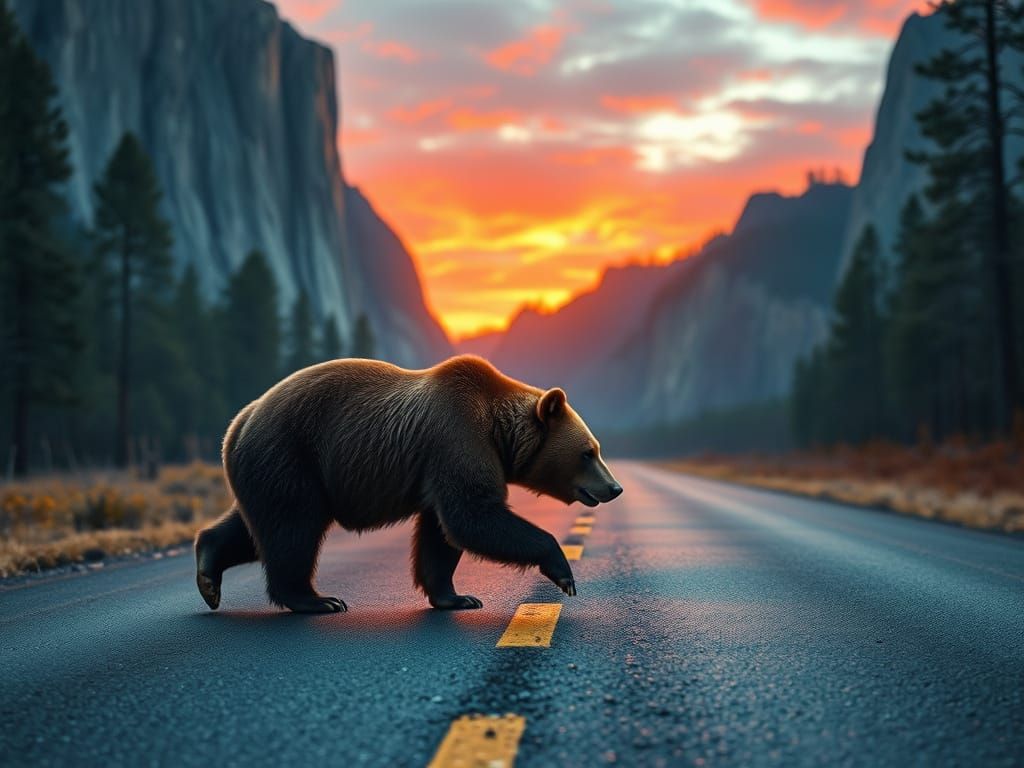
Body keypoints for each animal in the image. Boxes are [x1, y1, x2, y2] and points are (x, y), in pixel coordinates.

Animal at [193, 354, 623, 613]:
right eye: (588, 452)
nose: (614, 488)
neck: (499, 432)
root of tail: (238, 423)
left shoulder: (439, 468)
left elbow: (441, 535)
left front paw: (457, 597)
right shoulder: (457, 438)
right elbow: (474, 516)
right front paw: (563, 572)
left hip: (272, 467)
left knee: (256, 527)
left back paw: (208, 573)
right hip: (291, 453)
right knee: (293, 528)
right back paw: (317, 600)